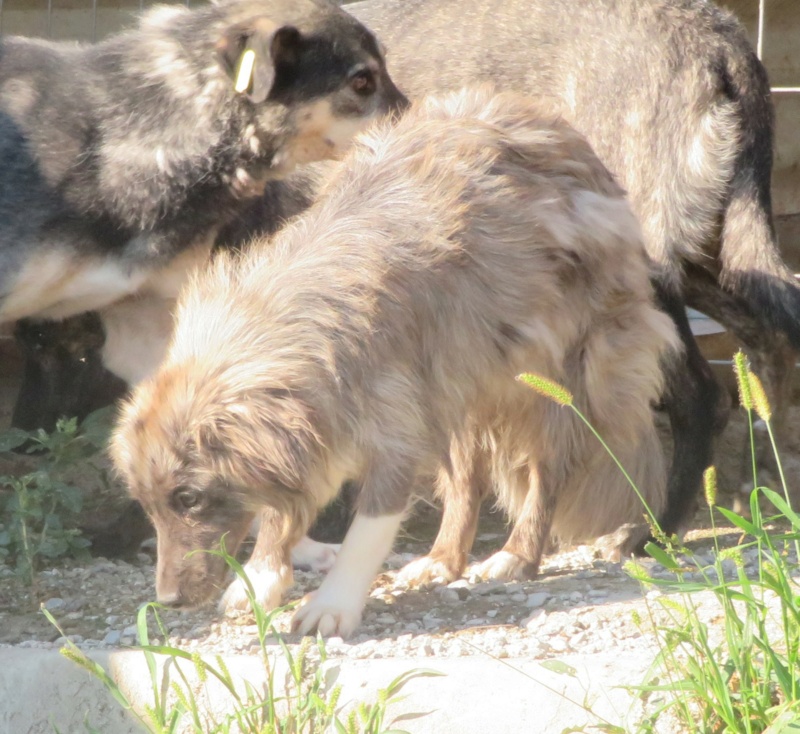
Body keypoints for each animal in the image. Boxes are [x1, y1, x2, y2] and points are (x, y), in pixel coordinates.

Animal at [109, 86, 680, 640]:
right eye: (150, 506)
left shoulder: (397, 433)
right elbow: (280, 510)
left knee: (547, 472)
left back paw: (516, 555)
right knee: (467, 482)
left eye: (189, 498)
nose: (168, 601)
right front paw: (265, 577)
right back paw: (443, 559)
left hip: (557, 379)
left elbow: (367, 529)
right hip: (458, 393)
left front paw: (332, 605)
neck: (290, 324)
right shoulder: (324, 434)